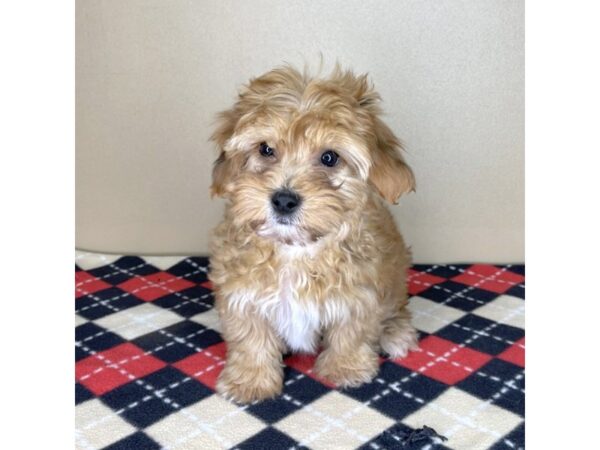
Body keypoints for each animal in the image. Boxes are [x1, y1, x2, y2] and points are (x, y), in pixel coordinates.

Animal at [209, 64, 420, 404]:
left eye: (329, 157)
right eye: (266, 149)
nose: (283, 200)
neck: (296, 250)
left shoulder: (360, 295)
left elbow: (352, 331)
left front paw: (346, 367)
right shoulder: (242, 295)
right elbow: (250, 338)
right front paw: (250, 380)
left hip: (396, 279)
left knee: (396, 308)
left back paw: (396, 333)